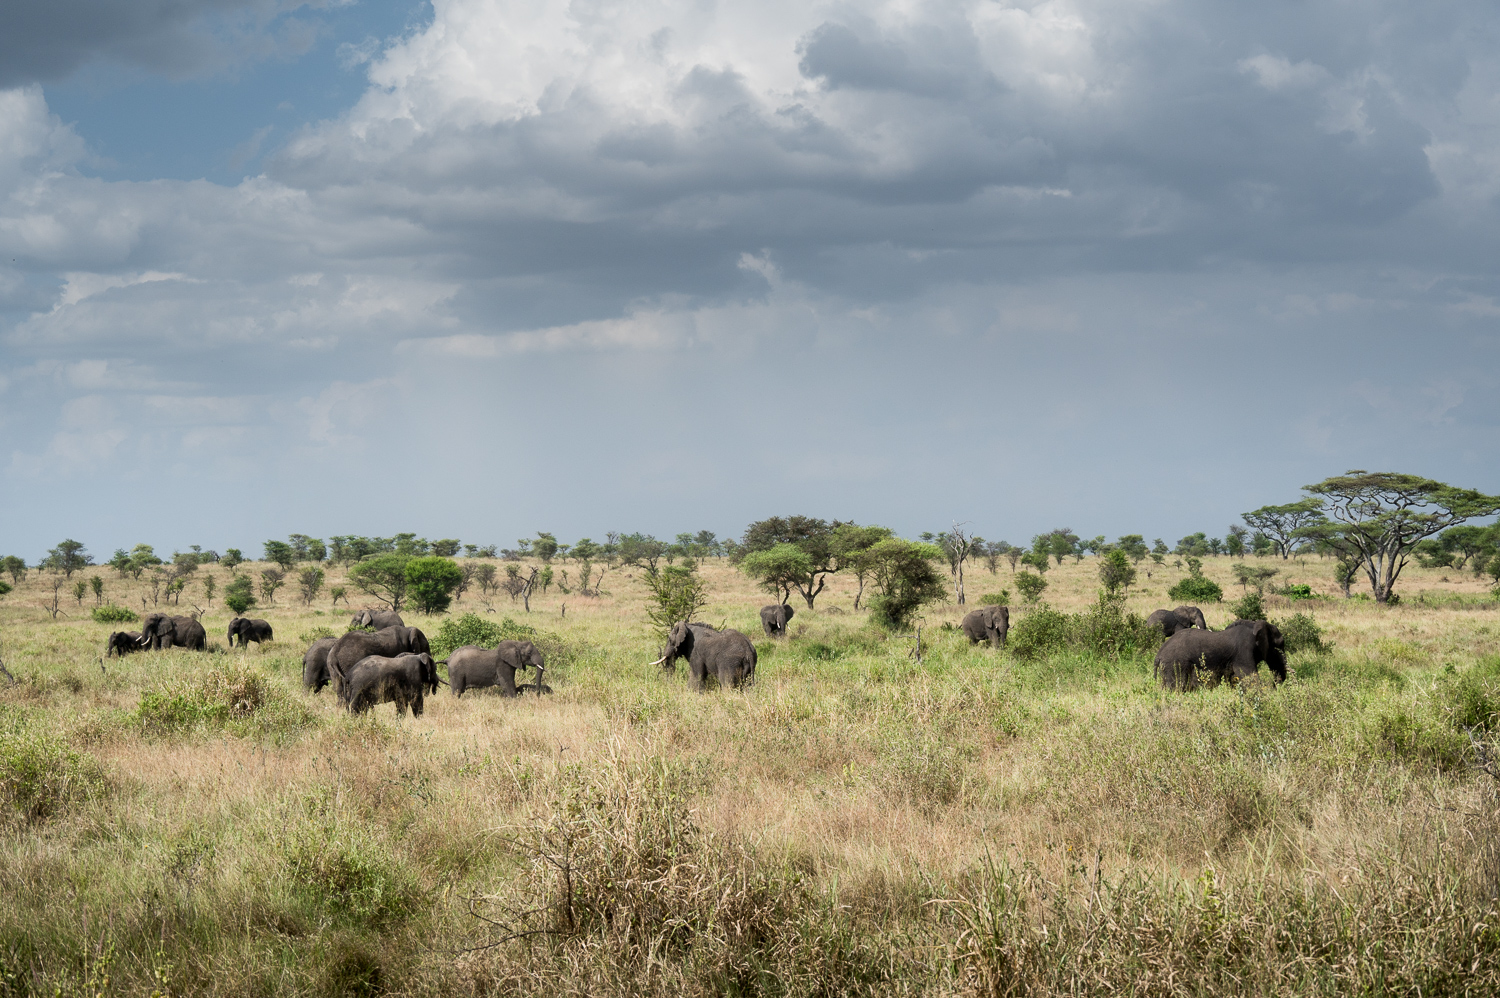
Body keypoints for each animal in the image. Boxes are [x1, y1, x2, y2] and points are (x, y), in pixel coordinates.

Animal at [1158, 618, 1290, 690]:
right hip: (1175, 664)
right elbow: (1249, 676)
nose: (1274, 687)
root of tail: (1159, 653)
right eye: (1279, 645)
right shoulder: (1244, 650)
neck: (1254, 625)